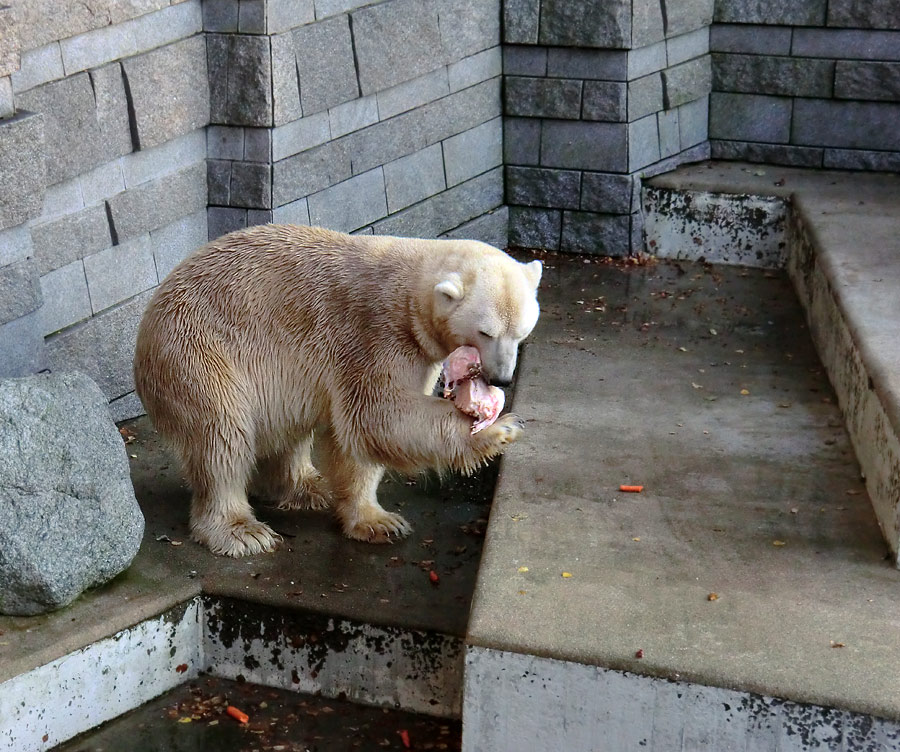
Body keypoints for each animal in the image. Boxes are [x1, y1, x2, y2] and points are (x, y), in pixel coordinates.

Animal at [134, 226, 540, 556]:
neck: (406, 294)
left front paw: (377, 521)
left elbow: (358, 438)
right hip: (198, 352)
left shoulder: (411, 352)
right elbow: (378, 417)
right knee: (221, 435)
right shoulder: (373, 336)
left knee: (286, 429)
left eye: (522, 331)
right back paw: (242, 531)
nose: (502, 378)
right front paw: (501, 428)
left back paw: (308, 487)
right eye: (486, 332)